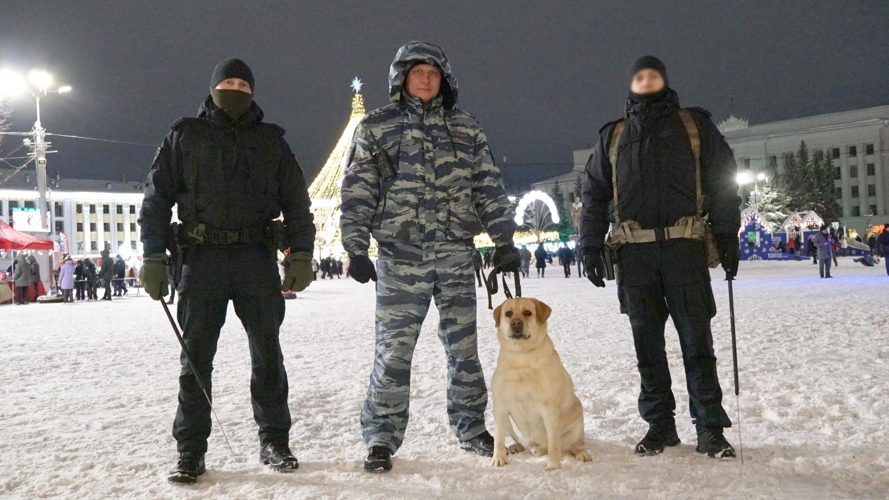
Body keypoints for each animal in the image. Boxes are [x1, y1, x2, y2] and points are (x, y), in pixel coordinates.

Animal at [486, 298, 588, 470]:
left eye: (527, 312)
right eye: (508, 313)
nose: (516, 323)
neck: (521, 358)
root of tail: (538, 448)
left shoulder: (549, 409)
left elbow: (554, 443)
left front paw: (553, 467)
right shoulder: (499, 406)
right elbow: (498, 438)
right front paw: (499, 458)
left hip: (577, 419)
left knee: (574, 445)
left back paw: (582, 454)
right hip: (510, 424)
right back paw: (517, 447)